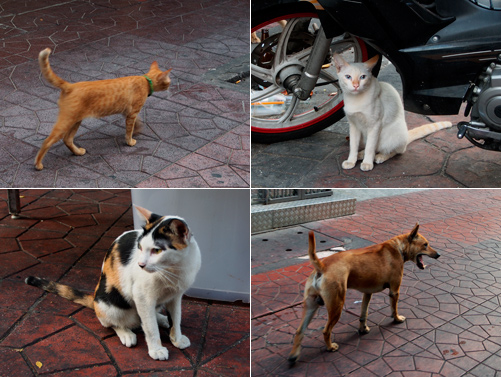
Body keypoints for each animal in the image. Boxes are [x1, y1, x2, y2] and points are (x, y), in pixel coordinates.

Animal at [25, 206, 200, 362]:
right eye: (140, 247)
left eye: (157, 250)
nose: (140, 264)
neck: (174, 270)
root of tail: (94, 297)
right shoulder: (142, 296)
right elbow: (150, 328)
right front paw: (156, 350)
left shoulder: (176, 296)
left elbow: (176, 318)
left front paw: (176, 338)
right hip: (109, 303)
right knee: (113, 322)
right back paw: (127, 333)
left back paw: (162, 319)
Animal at [34, 47, 172, 170]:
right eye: (169, 81)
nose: (170, 86)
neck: (145, 81)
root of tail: (71, 86)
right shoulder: (132, 113)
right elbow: (129, 129)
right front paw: (130, 141)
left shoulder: (126, 112)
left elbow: (136, 123)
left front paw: (137, 130)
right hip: (67, 121)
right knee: (47, 141)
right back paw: (38, 164)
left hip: (75, 120)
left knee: (67, 139)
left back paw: (78, 152)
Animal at [288, 223, 440, 364]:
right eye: (425, 245)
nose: (438, 255)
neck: (398, 247)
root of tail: (322, 266)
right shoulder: (394, 291)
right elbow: (394, 308)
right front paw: (397, 319)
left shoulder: (367, 293)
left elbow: (363, 313)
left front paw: (363, 329)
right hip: (337, 305)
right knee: (326, 330)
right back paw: (330, 347)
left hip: (311, 305)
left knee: (299, 331)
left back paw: (294, 355)